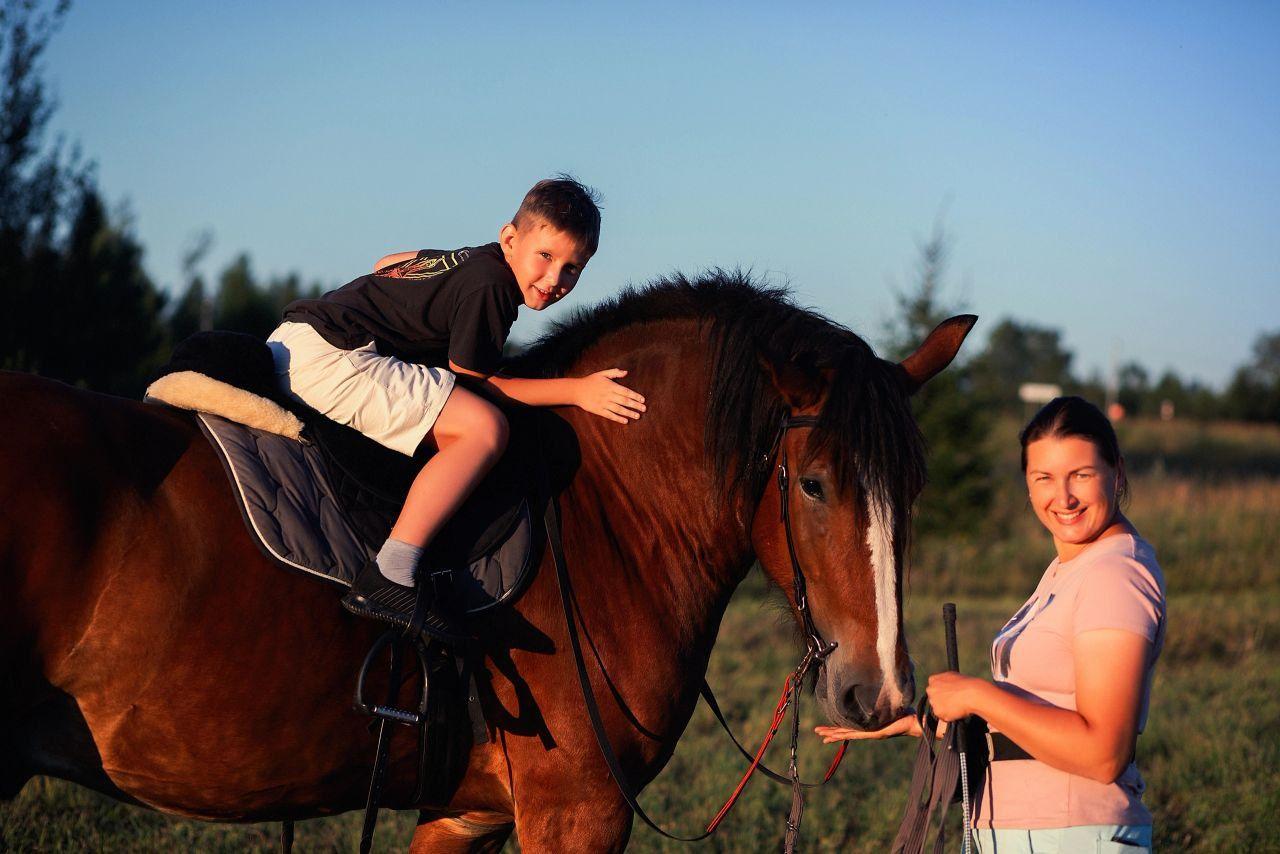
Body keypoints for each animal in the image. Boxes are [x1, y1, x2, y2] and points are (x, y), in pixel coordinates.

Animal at [0, 275, 967, 854]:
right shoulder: (576, 813)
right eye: (815, 484)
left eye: (914, 489)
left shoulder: (465, 813)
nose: (880, 693)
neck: (602, 516)